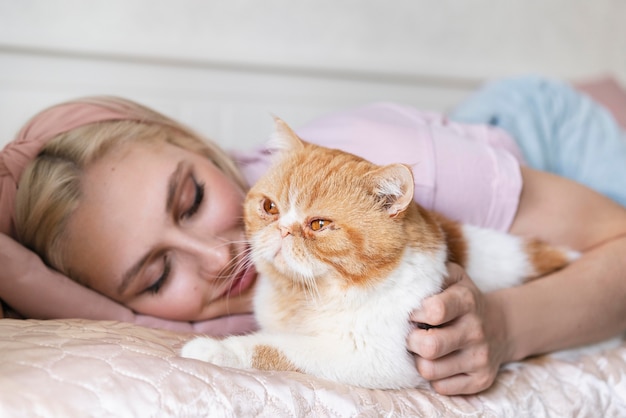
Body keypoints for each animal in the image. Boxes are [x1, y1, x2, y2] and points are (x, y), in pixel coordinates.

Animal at [179, 116, 576, 388]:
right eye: (270, 208)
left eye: (318, 225)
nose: (282, 230)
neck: (302, 297)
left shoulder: (373, 358)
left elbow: (273, 347)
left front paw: (213, 349)